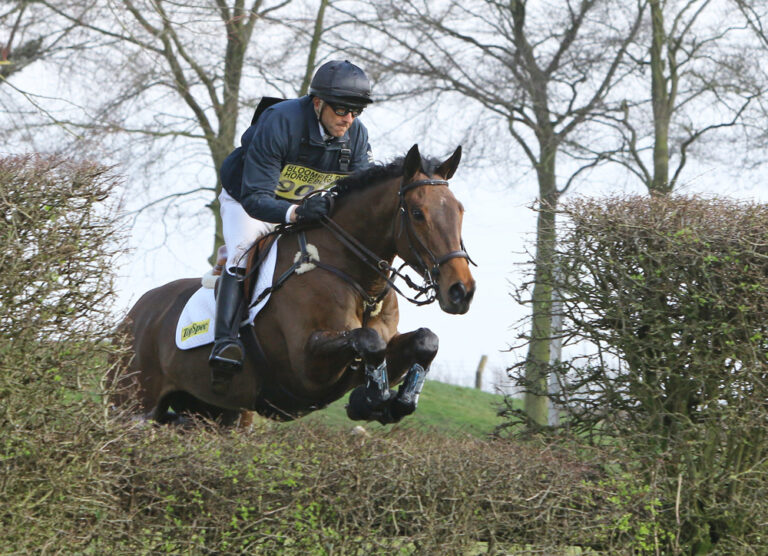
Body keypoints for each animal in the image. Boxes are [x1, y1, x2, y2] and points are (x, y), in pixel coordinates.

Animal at [110, 144, 475, 425]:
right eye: (417, 213)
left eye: (460, 211)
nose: (461, 291)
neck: (362, 284)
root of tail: (134, 314)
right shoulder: (305, 368)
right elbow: (367, 341)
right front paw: (370, 400)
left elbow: (425, 340)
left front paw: (391, 402)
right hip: (132, 405)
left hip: (216, 412)